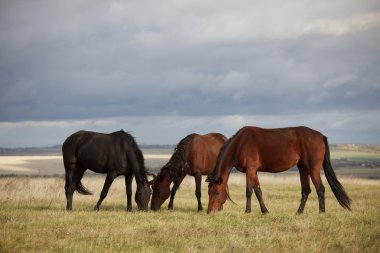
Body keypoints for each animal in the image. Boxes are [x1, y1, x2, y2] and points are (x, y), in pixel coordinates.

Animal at [206, 126, 352, 213]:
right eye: (209, 192)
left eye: (217, 193)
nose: (209, 211)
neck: (240, 143)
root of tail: (321, 136)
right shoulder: (254, 171)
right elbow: (258, 191)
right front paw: (264, 211)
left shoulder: (250, 170)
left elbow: (248, 191)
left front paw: (247, 211)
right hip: (302, 168)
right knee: (306, 190)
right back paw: (298, 213)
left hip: (313, 168)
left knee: (320, 189)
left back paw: (321, 212)